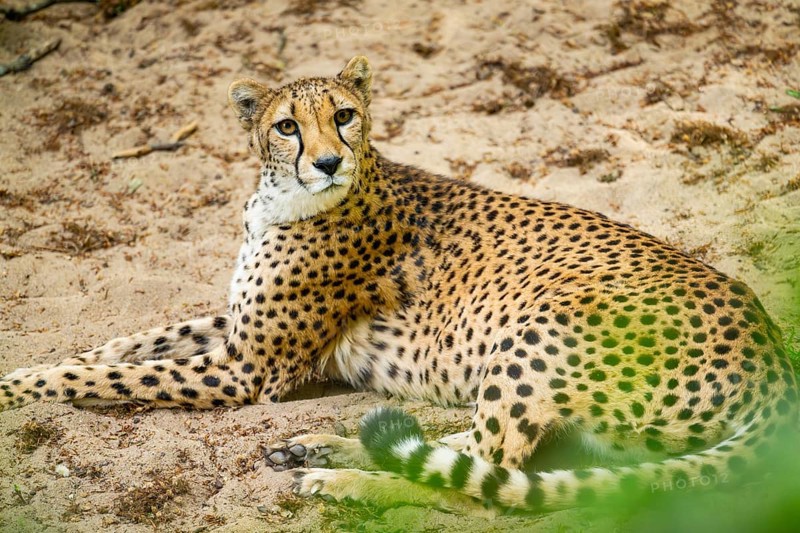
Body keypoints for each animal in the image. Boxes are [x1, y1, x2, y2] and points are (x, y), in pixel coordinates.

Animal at [1, 56, 797, 514]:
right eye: (287, 126)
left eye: (344, 115)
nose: (327, 161)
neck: (278, 199)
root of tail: (774, 356)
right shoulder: (235, 335)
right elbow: (124, 345)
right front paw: (51, 364)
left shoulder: (249, 371)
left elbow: (106, 376)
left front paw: (19, 388)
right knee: (462, 449)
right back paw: (323, 446)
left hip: (547, 324)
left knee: (488, 474)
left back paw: (343, 480)